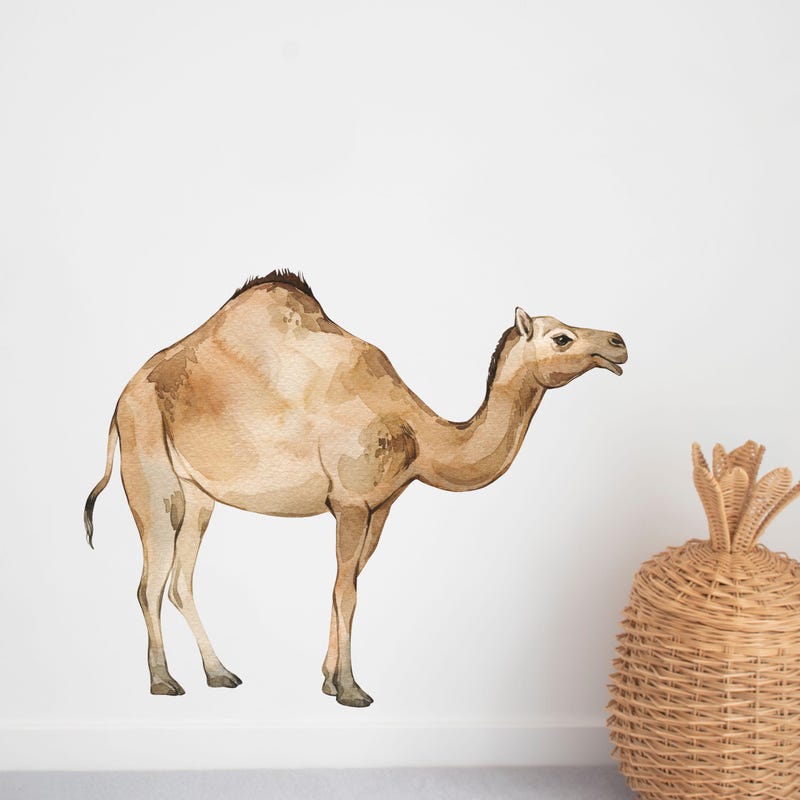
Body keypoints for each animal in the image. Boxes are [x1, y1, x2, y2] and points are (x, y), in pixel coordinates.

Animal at [84, 270, 627, 706]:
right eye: (562, 337)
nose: (618, 340)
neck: (422, 438)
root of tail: (121, 397)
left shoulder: (380, 506)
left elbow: (347, 586)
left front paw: (329, 680)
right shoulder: (348, 501)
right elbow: (345, 591)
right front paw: (350, 689)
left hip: (198, 495)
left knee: (181, 580)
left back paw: (220, 674)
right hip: (150, 472)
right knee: (150, 581)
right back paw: (163, 682)